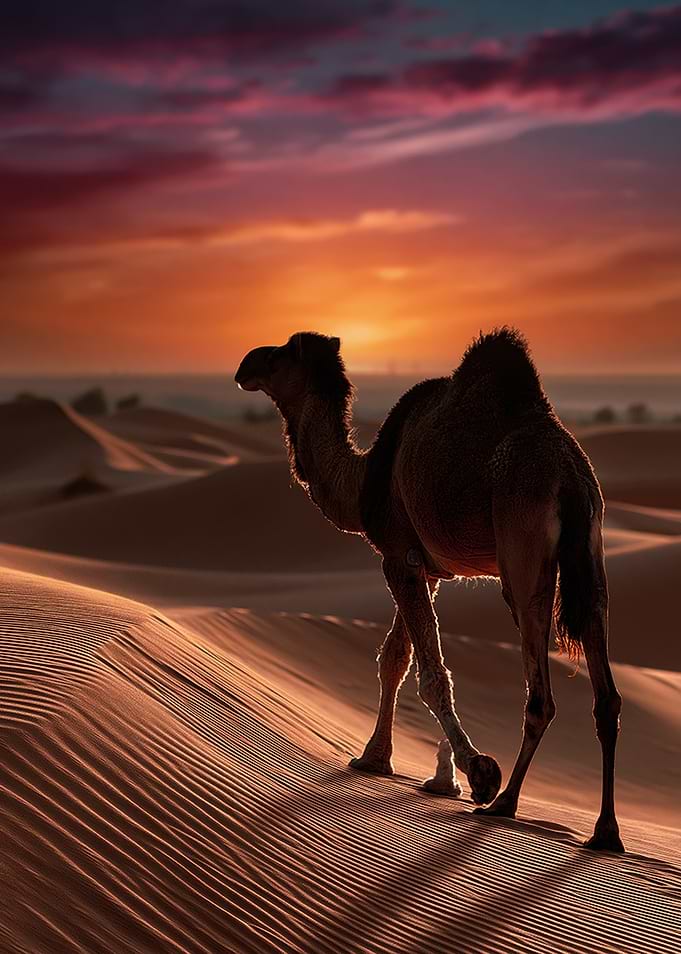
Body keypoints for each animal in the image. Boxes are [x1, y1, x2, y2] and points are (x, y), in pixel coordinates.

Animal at [235, 328, 624, 852]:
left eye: (281, 354)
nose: (245, 363)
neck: (365, 481)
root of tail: (571, 478)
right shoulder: (426, 567)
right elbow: (395, 658)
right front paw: (374, 757)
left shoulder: (397, 554)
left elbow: (428, 672)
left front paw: (476, 771)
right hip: (591, 560)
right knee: (607, 695)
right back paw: (605, 831)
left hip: (523, 560)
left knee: (540, 692)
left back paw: (505, 802)